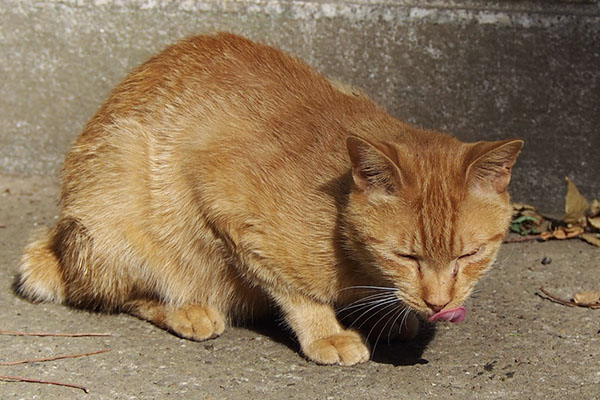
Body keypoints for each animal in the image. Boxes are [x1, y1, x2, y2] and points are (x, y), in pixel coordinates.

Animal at [14, 33, 520, 366]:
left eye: (470, 255)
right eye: (406, 256)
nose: (438, 304)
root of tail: (58, 241)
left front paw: (394, 316)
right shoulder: (228, 210)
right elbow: (298, 294)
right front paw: (327, 334)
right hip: (120, 198)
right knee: (119, 293)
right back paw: (188, 310)